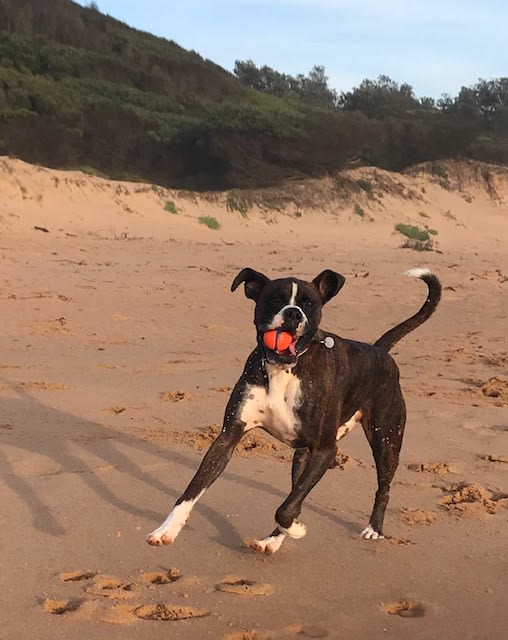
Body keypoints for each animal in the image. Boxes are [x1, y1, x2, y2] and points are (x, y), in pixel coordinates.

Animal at [147, 268, 440, 552]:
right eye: (275, 299)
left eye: (309, 303)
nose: (292, 313)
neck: (284, 367)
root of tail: (380, 352)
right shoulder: (228, 437)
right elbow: (195, 487)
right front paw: (167, 529)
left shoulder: (325, 451)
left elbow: (286, 508)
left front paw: (296, 529)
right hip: (303, 456)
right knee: (297, 492)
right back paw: (273, 540)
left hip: (386, 441)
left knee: (382, 488)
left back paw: (373, 529)